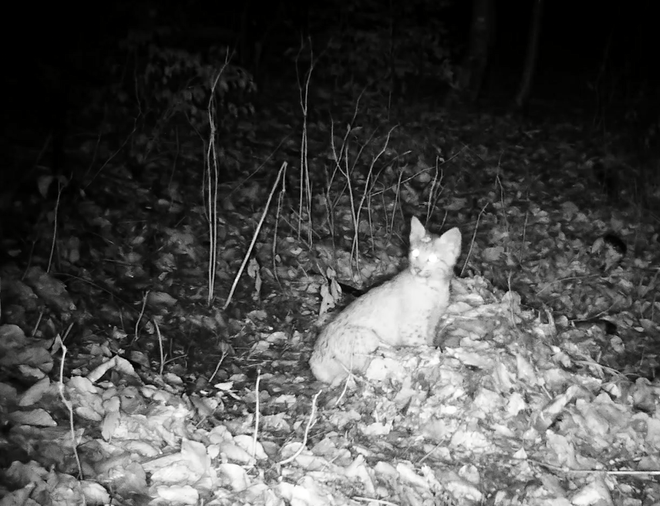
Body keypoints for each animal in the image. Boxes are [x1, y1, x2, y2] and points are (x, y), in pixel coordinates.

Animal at [308, 215, 458, 386]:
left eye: (433, 258)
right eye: (415, 253)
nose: (417, 269)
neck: (434, 286)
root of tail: (314, 361)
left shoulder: (433, 320)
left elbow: (430, 340)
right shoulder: (412, 327)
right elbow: (419, 345)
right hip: (368, 336)